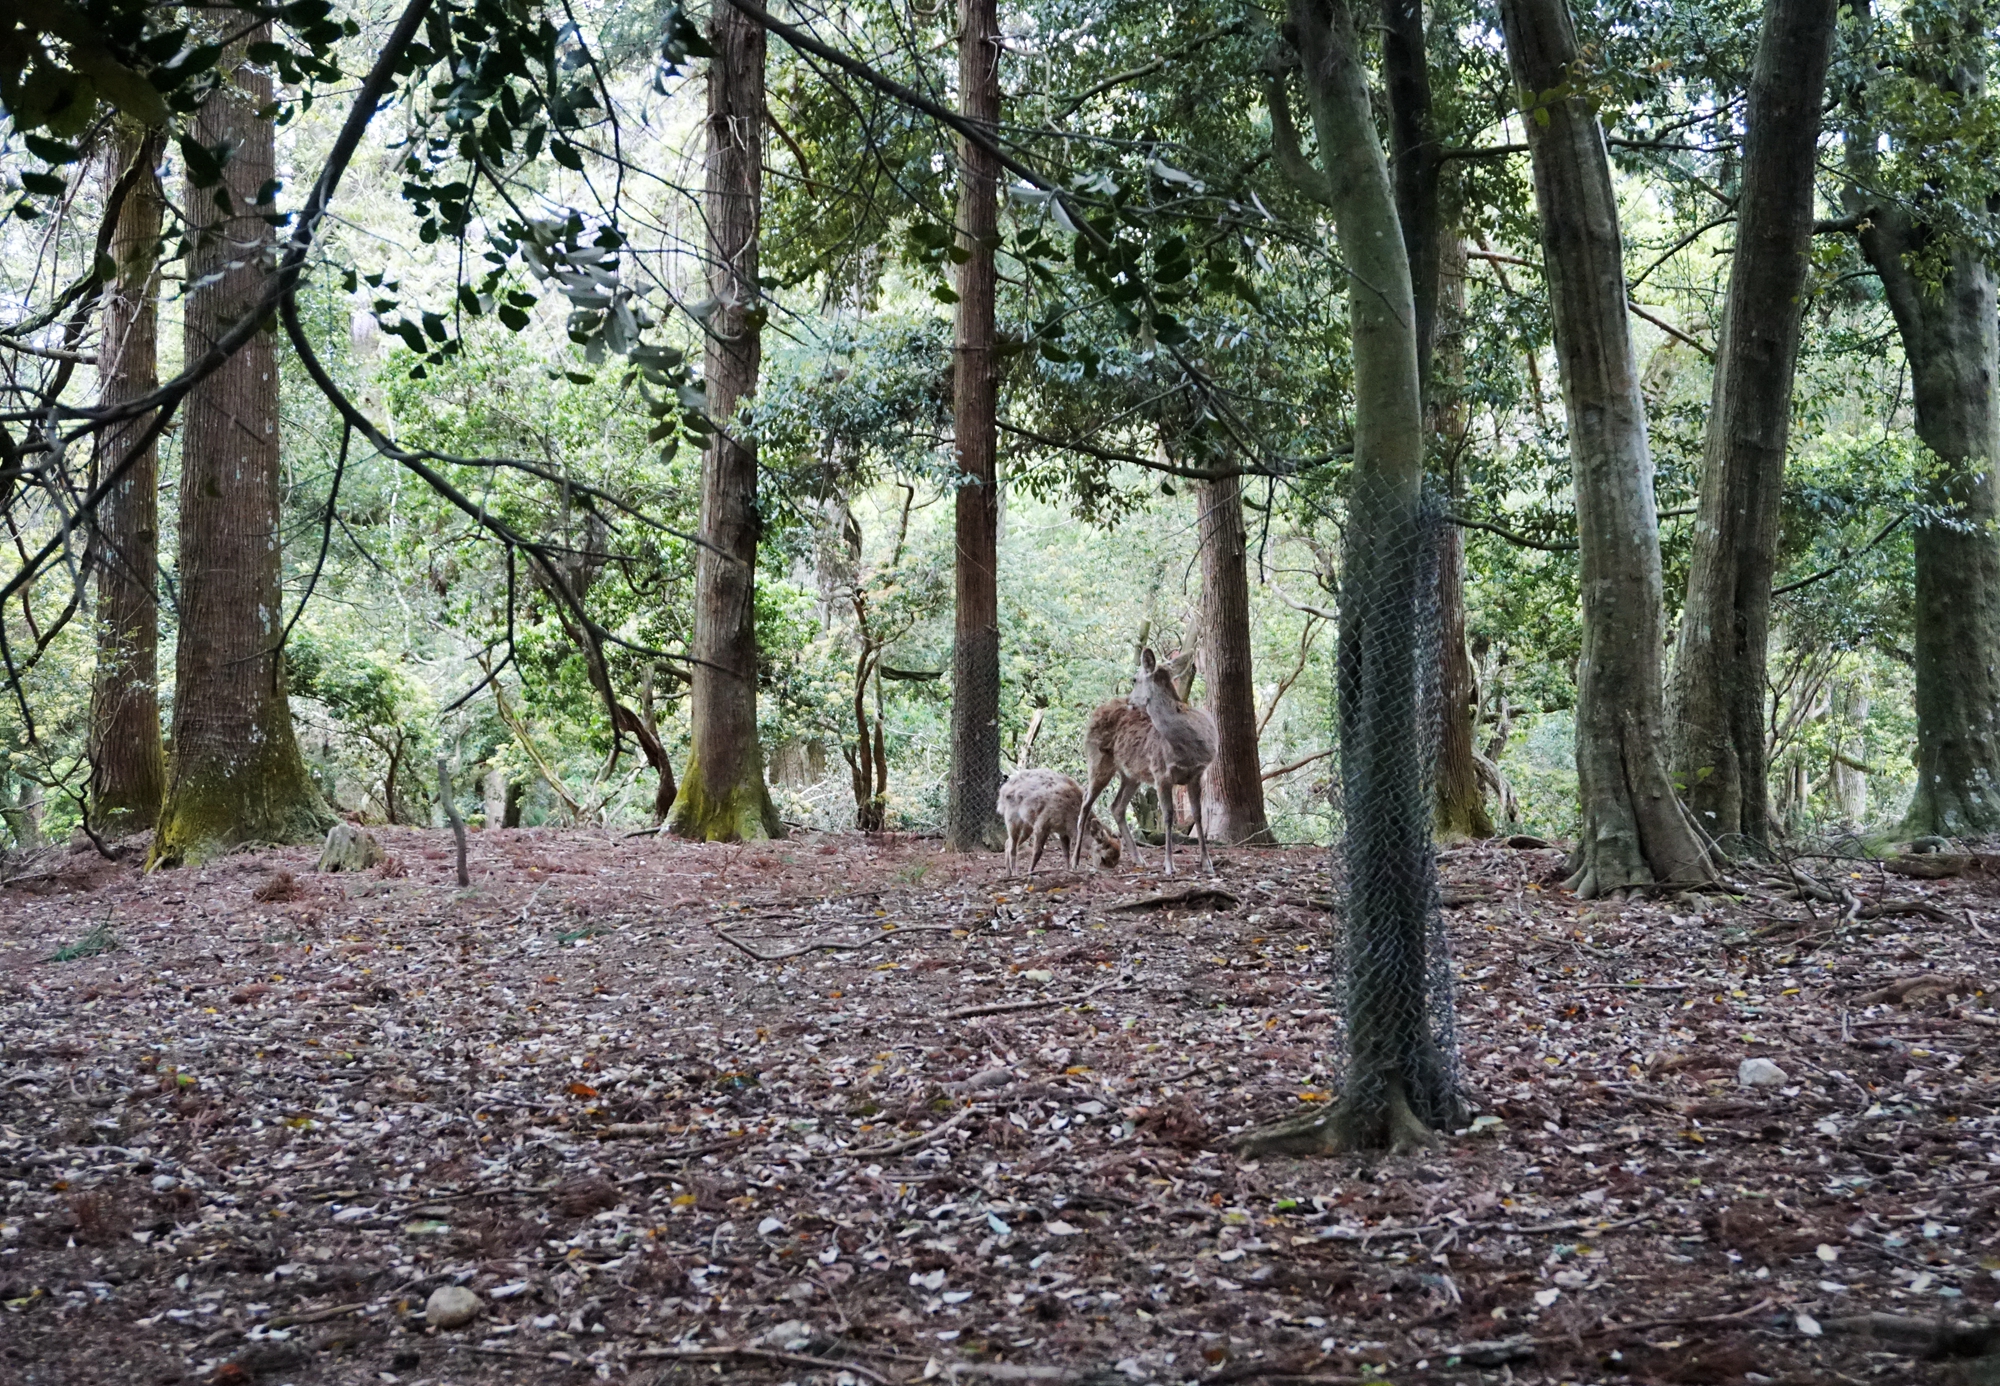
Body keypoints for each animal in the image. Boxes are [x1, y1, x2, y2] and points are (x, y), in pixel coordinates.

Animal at [1080, 648, 1216, 876]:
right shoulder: (1161, 773)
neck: (1187, 749)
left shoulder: (1197, 773)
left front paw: (1207, 863)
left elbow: (1198, 815)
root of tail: (1095, 711)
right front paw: (1169, 865)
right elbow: (1168, 816)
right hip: (1097, 760)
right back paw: (1074, 862)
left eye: (1134, 679)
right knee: (1085, 801)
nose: (1129, 701)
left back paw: (1139, 858)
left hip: (1131, 774)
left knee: (1116, 805)